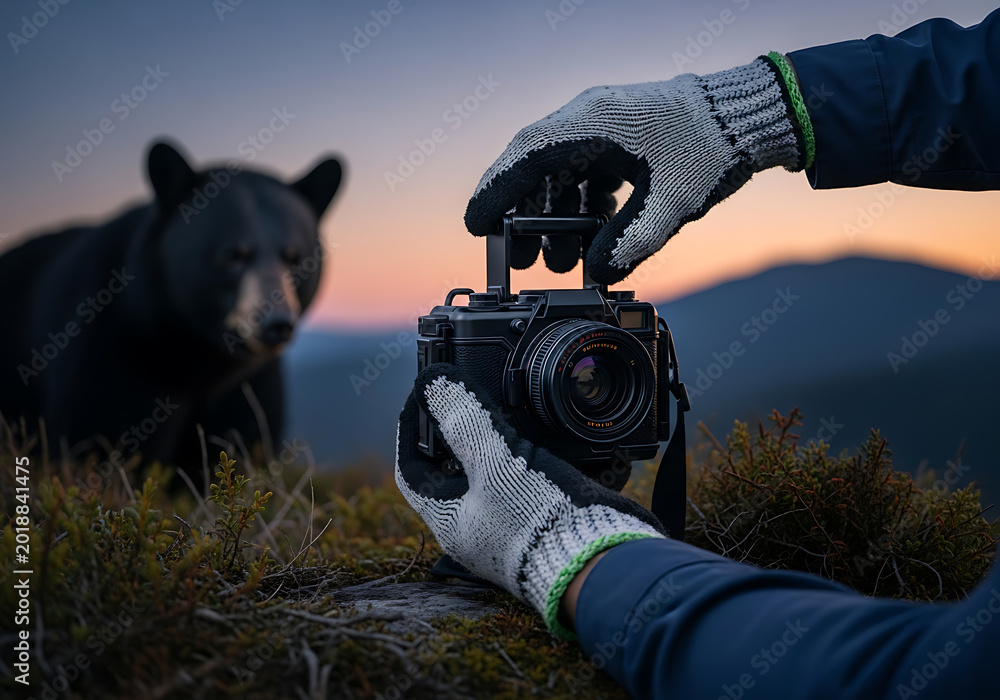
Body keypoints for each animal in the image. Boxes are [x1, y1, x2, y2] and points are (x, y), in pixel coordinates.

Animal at [0, 140, 342, 484]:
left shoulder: (252, 390)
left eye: (295, 258)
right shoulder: (105, 359)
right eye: (231, 255)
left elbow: (246, 445)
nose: (278, 323)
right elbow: (97, 442)